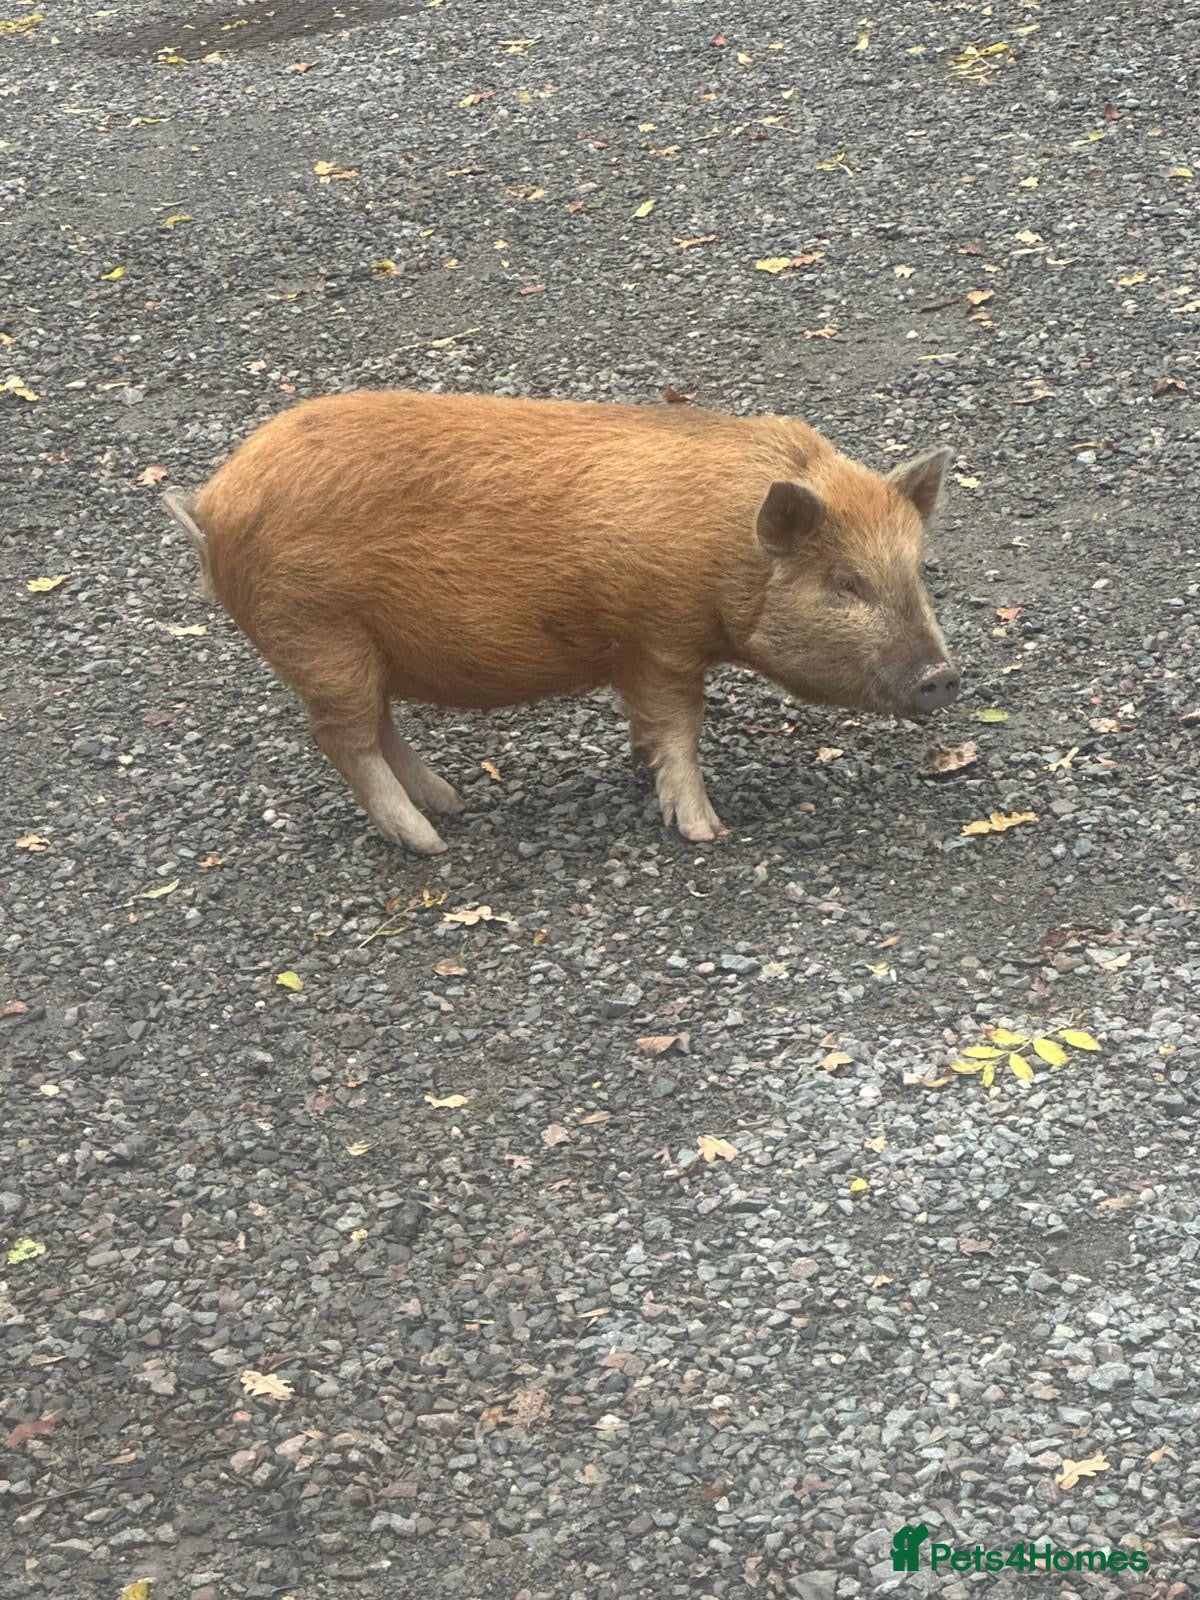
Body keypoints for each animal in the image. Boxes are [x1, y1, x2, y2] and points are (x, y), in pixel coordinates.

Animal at [162, 389, 959, 853]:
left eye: (916, 568)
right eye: (846, 583)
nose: (944, 677)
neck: (725, 547)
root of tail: (212, 506)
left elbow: (651, 726)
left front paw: (642, 773)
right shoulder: (658, 639)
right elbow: (679, 726)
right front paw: (707, 831)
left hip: (355, 649)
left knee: (377, 728)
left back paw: (452, 803)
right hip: (319, 636)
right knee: (340, 738)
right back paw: (431, 842)